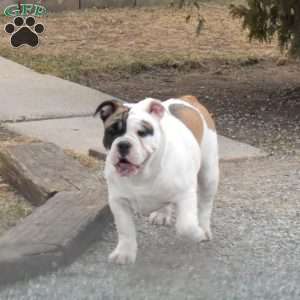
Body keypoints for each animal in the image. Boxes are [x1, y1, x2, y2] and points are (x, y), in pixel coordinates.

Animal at [95, 95, 219, 264]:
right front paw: (124, 253)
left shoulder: (186, 195)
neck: (142, 174)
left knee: (205, 205)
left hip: (209, 174)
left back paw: (204, 229)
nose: (123, 144)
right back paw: (162, 214)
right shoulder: (118, 202)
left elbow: (186, 227)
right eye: (112, 131)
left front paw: (197, 233)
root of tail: (189, 99)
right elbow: (125, 229)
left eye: (142, 132)